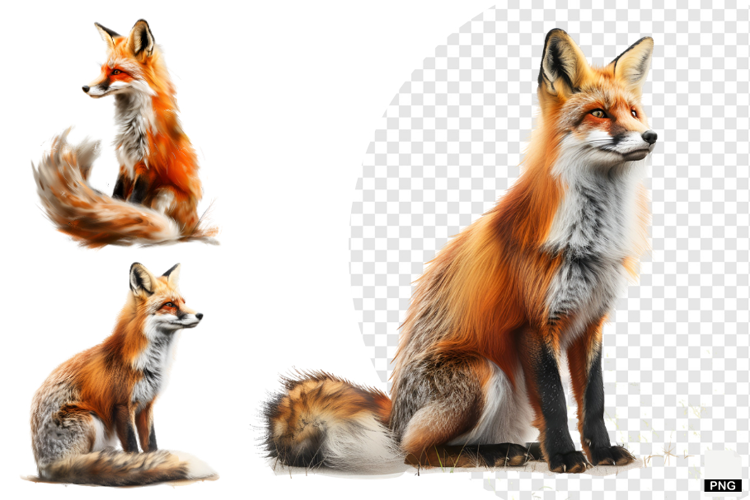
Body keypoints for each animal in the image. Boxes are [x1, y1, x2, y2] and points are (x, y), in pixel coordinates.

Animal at [30, 263, 217, 486]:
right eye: (170, 304)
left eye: (183, 302)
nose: (200, 315)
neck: (149, 363)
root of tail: (44, 466)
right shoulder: (121, 405)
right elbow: (133, 447)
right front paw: (142, 466)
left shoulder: (146, 405)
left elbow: (150, 444)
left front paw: (155, 462)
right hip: (90, 418)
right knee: (80, 464)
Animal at [32, 20, 216, 248]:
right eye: (103, 69)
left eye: (117, 72)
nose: (85, 87)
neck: (131, 127)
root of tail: (195, 226)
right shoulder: (124, 163)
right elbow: (118, 197)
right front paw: (115, 219)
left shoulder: (147, 166)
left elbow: (134, 203)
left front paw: (128, 227)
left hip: (166, 193)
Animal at [263, 29, 657, 474]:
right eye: (599, 113)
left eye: (634, 112)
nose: (651, 136)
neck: (589, 240)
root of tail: (393, 415)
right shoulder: (533, 323)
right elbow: (555, 401)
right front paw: (565, 456)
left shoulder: (590, 322)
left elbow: (594, 400)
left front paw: (601, 452)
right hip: (484, 373)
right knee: (417, 450)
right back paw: (495, 454)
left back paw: (520, 449)